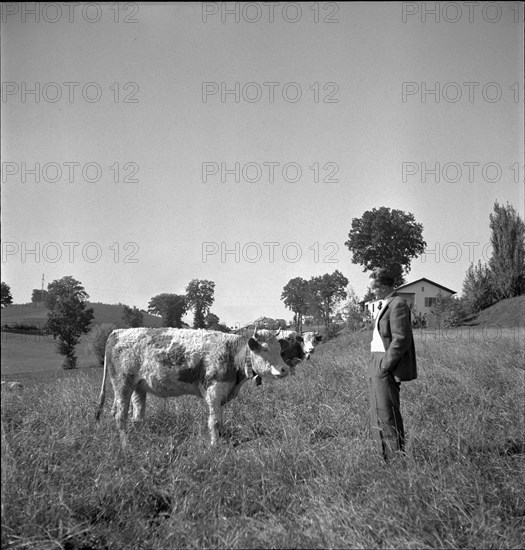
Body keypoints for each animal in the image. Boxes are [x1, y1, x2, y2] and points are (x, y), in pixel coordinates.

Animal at [95, 328, 290, 448]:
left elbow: (220, 420)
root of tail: (117, 332)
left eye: (279, 349)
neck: (231, 353)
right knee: (120, 416)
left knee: (137, 417)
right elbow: (215, 421)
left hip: (138, 388)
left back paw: (139, 440)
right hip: (122, 385)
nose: (284, 369)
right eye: (264, 349)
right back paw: (126, 446)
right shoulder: (213, 391)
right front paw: (215, 446)